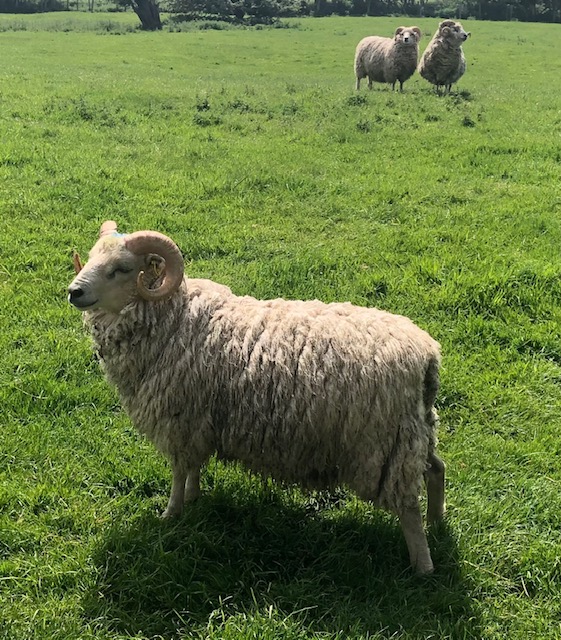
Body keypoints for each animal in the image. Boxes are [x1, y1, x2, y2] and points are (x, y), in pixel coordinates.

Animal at [69, 221, 446, 576]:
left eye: (121, 268)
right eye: (91, 257)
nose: (74, 291)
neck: (174, 319)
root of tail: (427, 354)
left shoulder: (178, 421)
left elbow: (178, 472)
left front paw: (171, 513)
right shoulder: (197, 422)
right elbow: (193, 467)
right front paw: (193, 498)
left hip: (383, 443)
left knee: (408, 506)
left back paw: (423, 566)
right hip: (415, 430)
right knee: (436, 469)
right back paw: (438, 522)